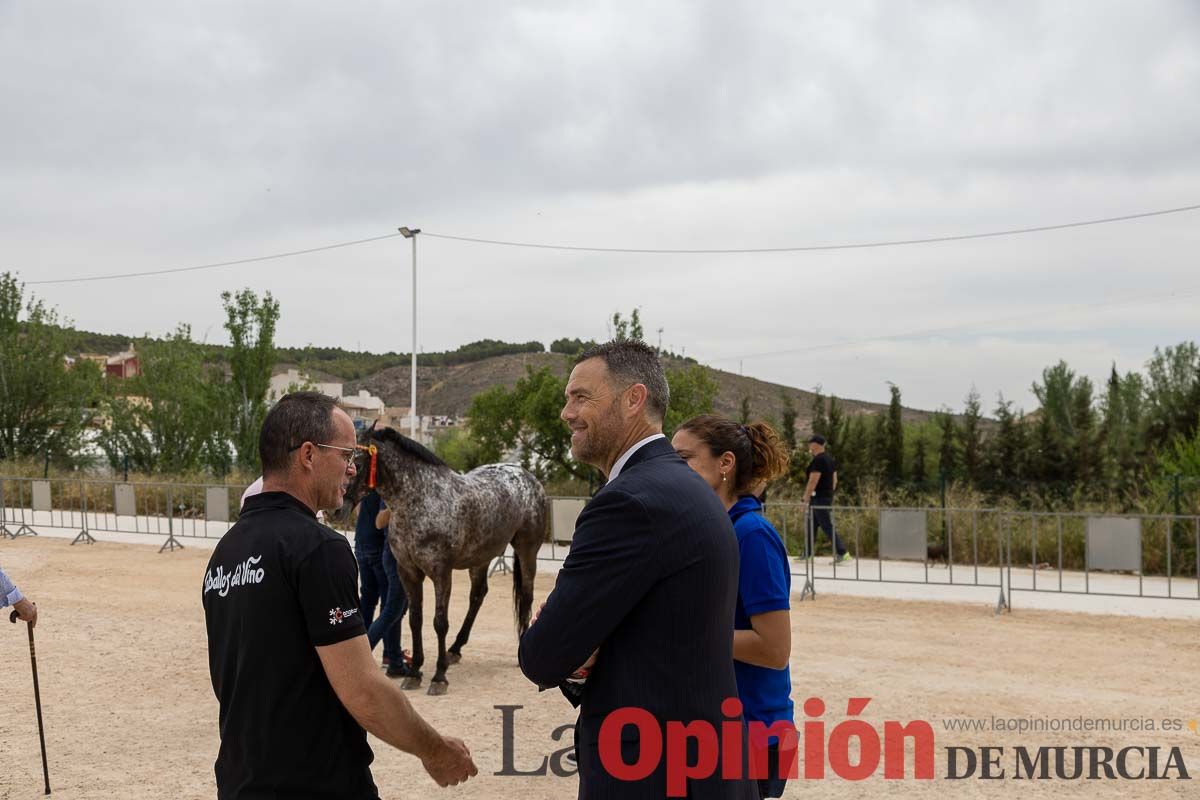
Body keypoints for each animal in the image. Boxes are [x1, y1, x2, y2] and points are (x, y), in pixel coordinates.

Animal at [338, 424, 544, 695]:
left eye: (358, 464)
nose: (336, 509)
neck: (421, 501)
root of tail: (527, 476)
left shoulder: (441, 572)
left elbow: (439, 622)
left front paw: (438, 677)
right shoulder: (408, 572)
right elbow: (415, 620)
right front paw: (414, 672)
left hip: (527, 549)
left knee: (527, 595)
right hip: (481, 557)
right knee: (478, 596)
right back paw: (454, 650)